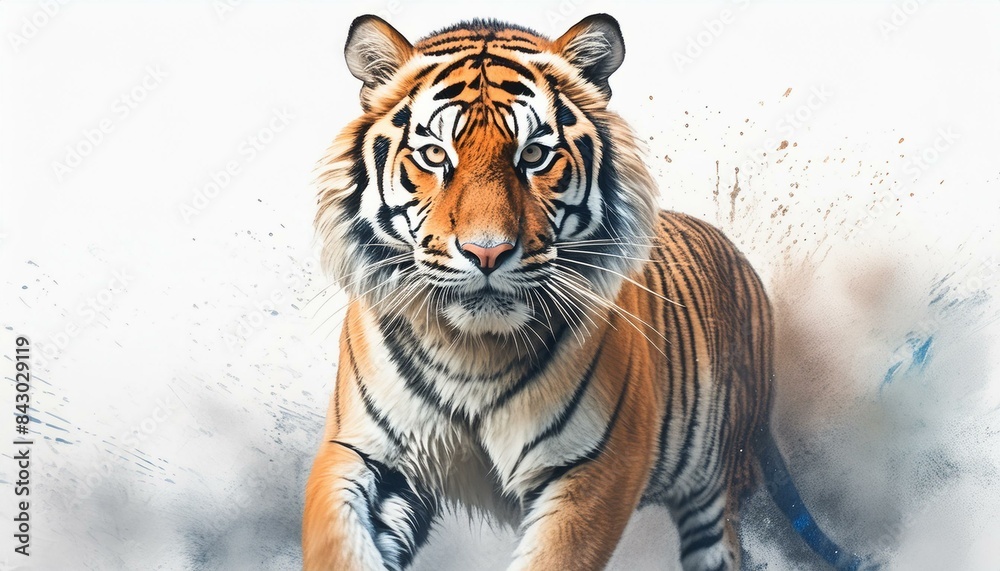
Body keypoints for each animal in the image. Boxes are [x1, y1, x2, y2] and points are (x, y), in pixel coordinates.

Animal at [304, 13, 867, 571]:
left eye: (533, 154)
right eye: (434, 154)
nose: (487, 253)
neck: (472, 349)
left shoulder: (595, 468)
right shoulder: (361, 455)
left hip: (716, 484)